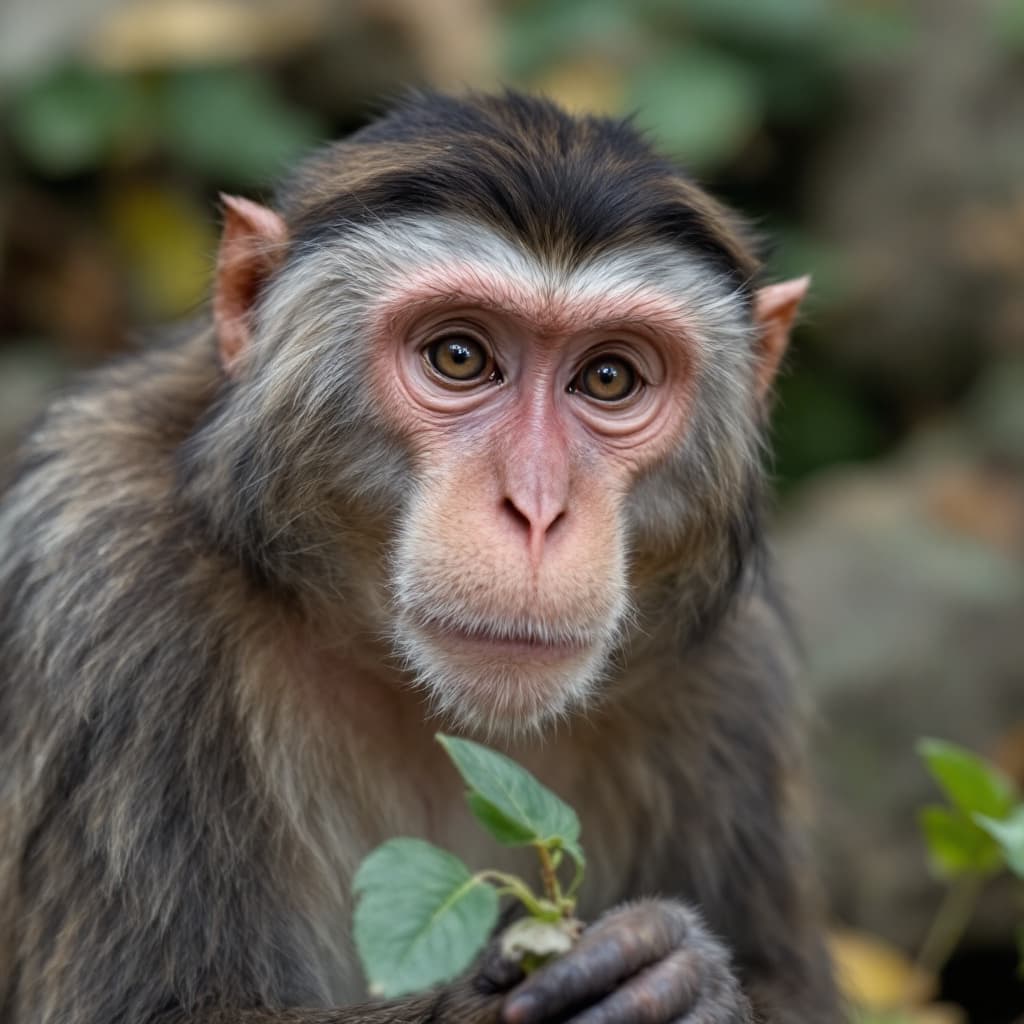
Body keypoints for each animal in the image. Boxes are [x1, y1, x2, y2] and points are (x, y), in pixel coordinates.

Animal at [0, 91, 841, 1024]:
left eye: (609, 378)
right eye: (459, 357)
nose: (537, 509)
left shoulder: (737, 675)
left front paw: (684, 986)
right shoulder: (105, 594)